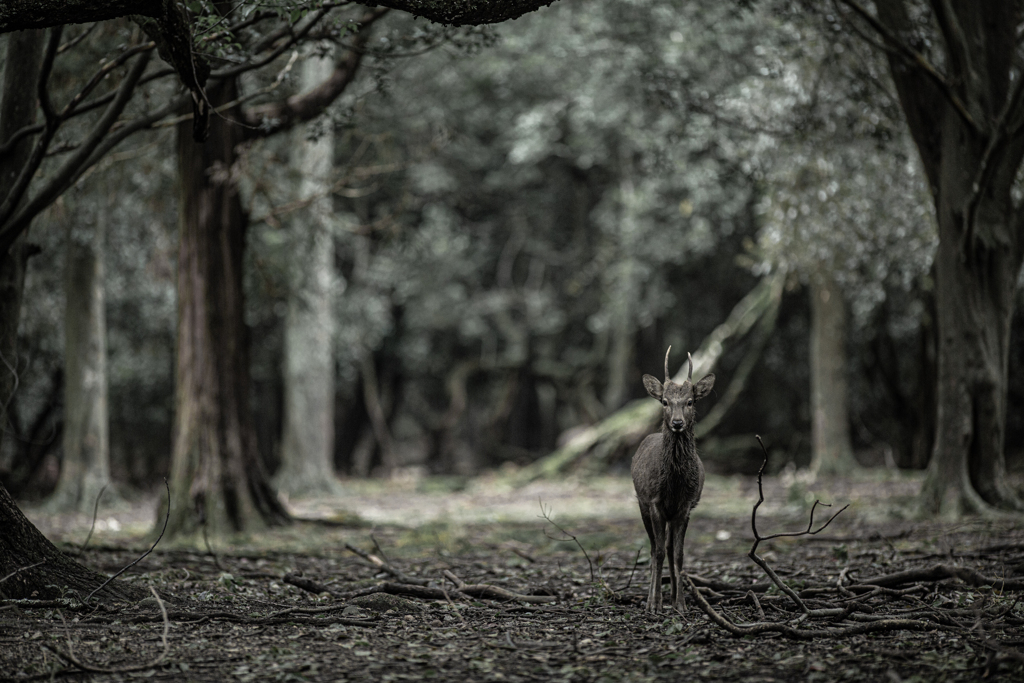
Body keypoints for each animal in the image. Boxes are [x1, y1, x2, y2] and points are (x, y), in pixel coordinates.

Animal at [626, 348, 716, 614]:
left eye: (690, 401)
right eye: (665, 402)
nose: (677, 423)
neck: (674, 485)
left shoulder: (685, 506)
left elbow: (678, 554)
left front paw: (682, 604)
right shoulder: (654, 501)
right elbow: (657, 553)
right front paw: (654, 604)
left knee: (666, 547)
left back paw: (674, 597)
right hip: (642, 504)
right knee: (653, 548)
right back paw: (651, 600)